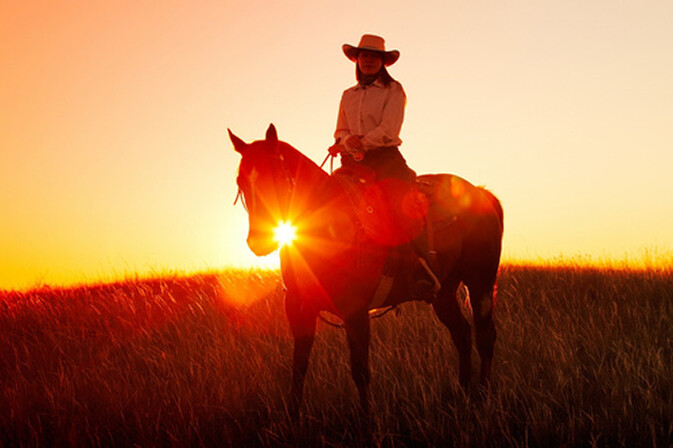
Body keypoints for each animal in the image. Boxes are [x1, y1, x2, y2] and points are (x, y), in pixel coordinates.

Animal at [228, 123, 502, 416]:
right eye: (241, 182)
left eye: (276, 177)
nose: (258, 241)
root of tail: (480, 192)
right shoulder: (298, 308)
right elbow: (299, 367)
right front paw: (292, 417)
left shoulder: (355, 311)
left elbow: (360, 370)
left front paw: (366, 420)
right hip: (443, 293)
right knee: (461, 334)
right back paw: (463, 394)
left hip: (480, 283)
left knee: (485, 336)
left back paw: (482, 397)